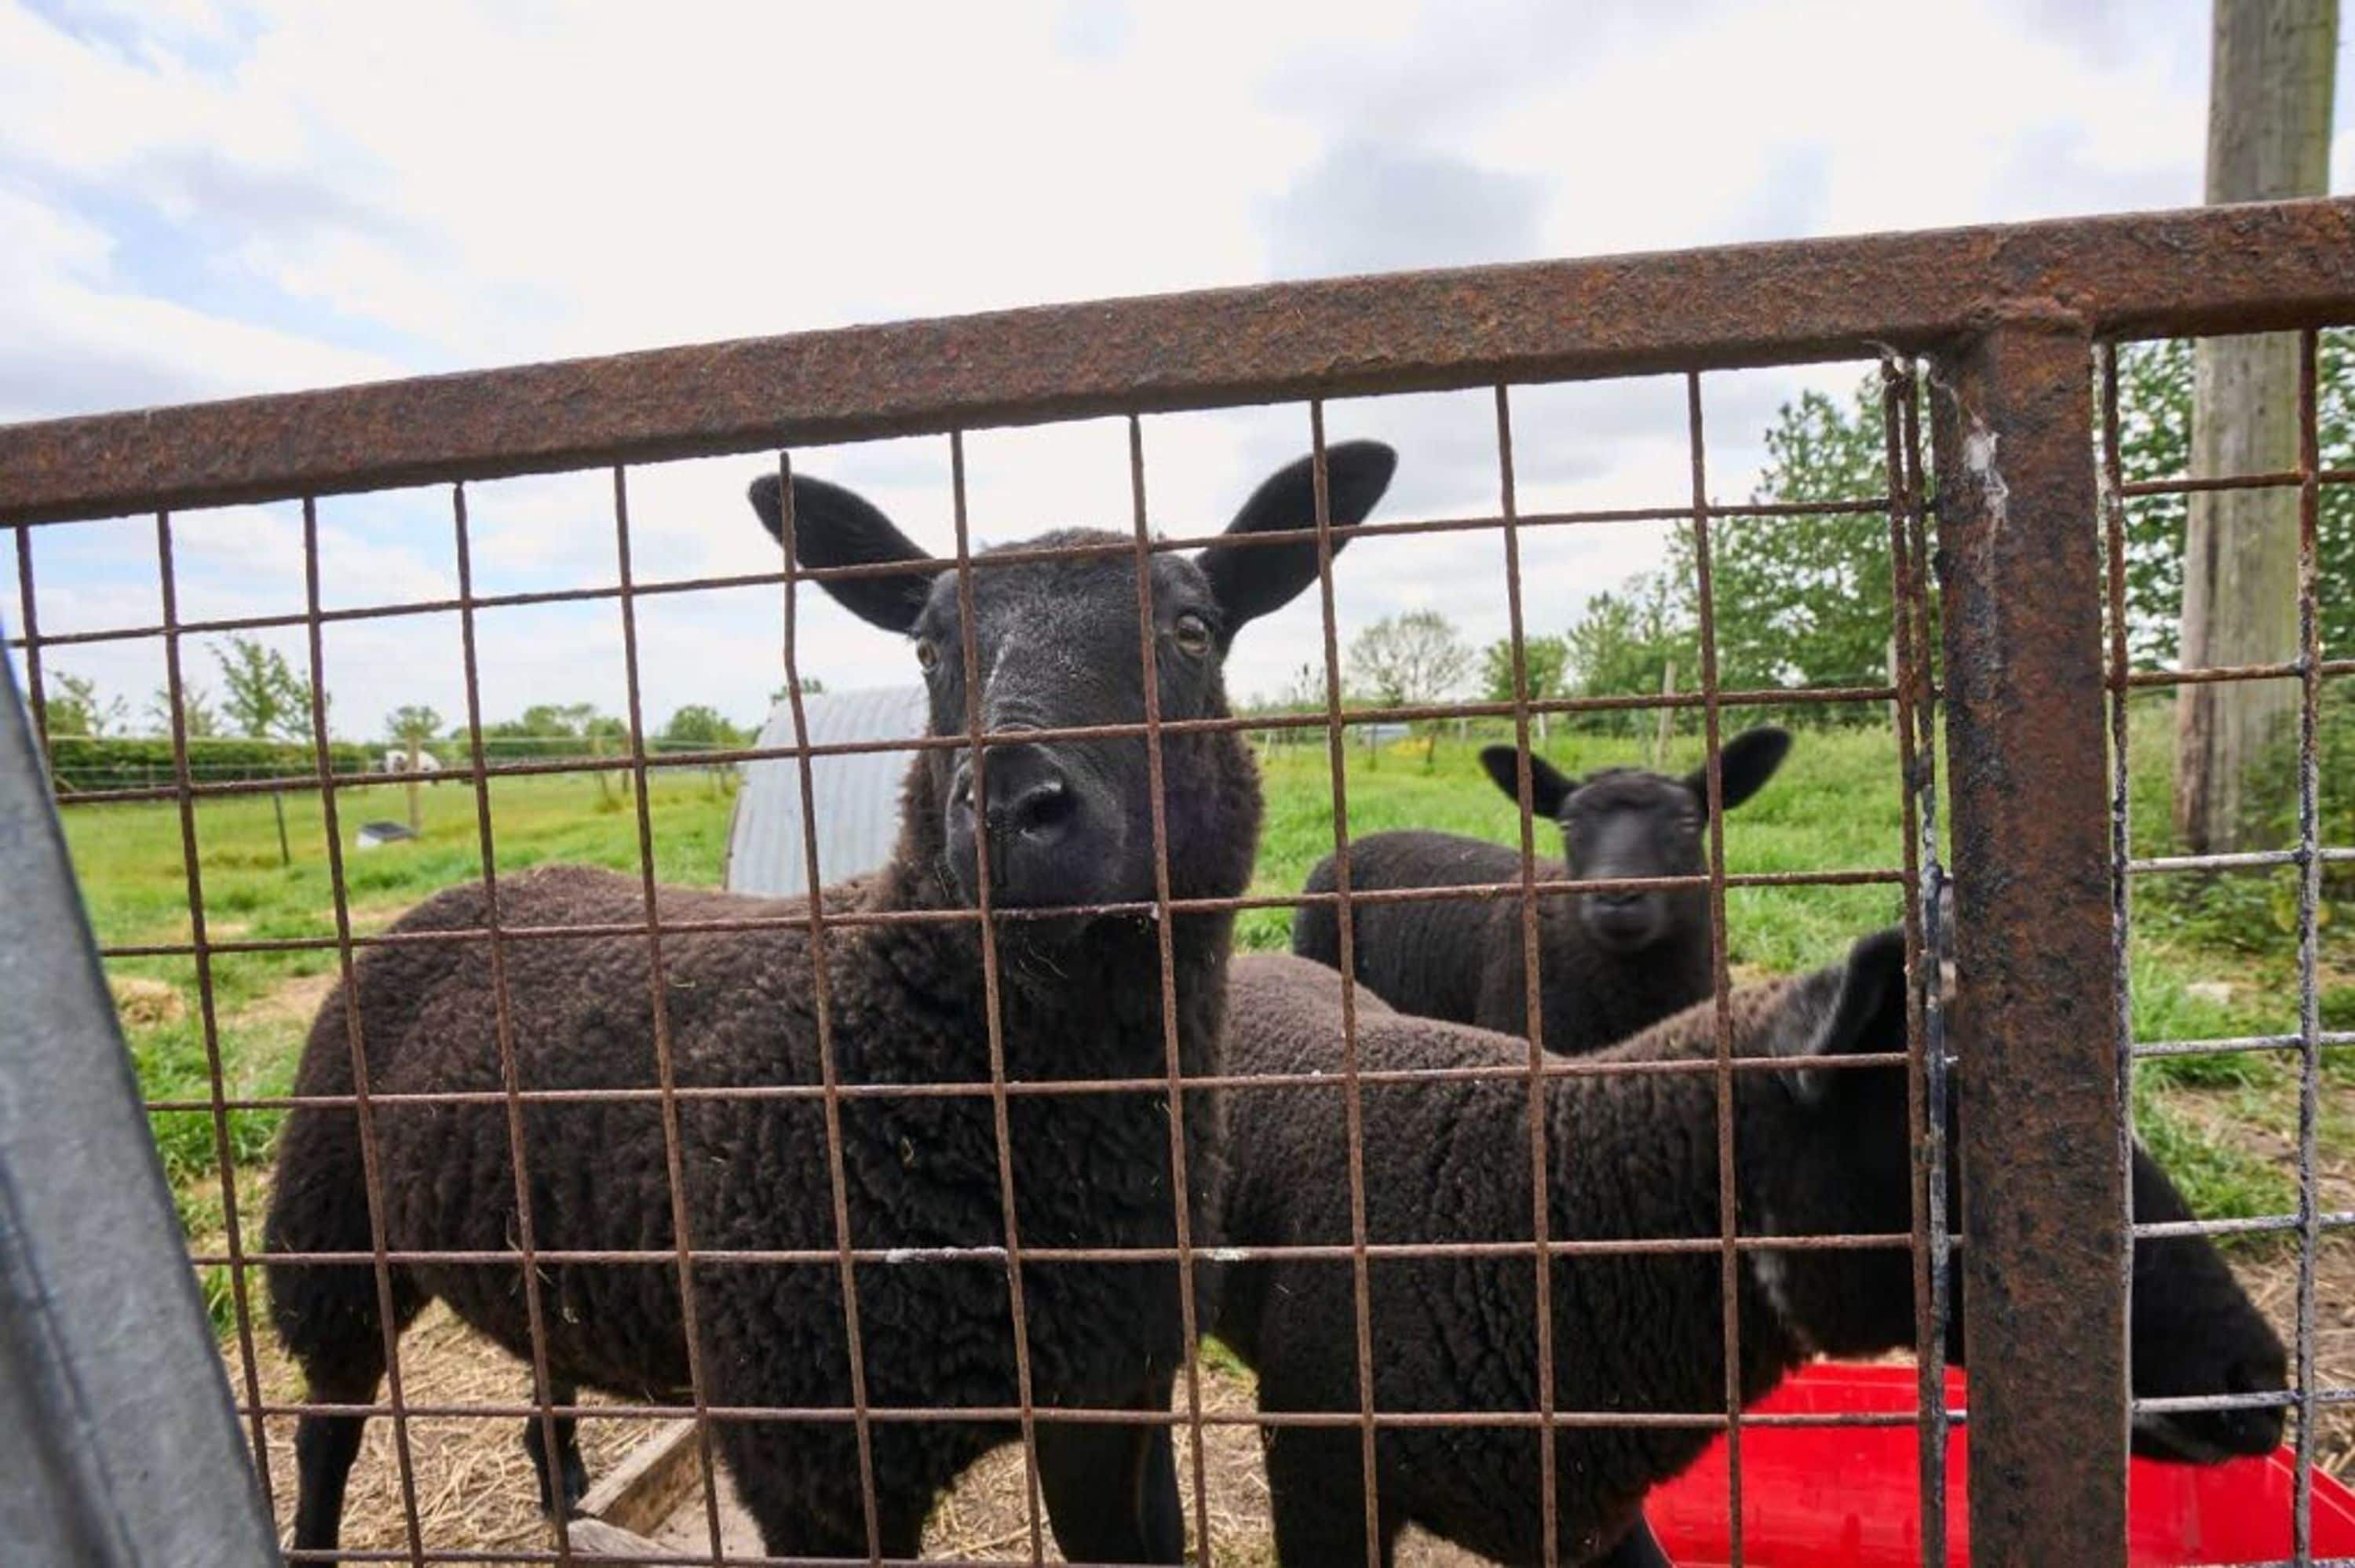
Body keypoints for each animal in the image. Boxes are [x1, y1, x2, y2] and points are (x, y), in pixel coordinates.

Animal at [262, 441, 1400, 1563]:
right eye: (929, 651)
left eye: (1193, 630)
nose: (1008, 806)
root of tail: (478, 888)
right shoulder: (815, 1451)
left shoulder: (1113, 1395)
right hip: (330, 1227)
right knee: (327, 1423)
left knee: (545, 1369)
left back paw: (566, 1494)